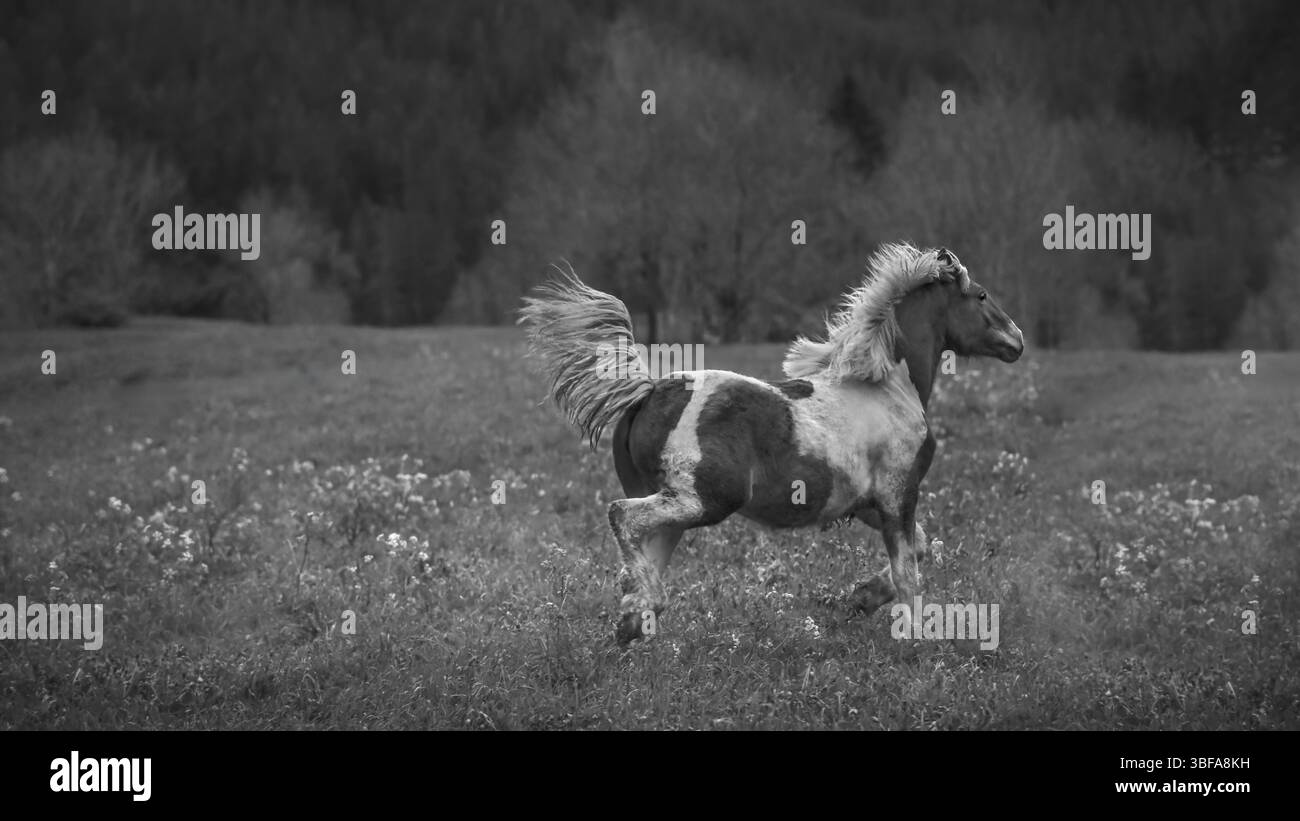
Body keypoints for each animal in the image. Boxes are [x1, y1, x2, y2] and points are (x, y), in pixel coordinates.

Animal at [518, 243, 1024, 644]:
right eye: (981, 296)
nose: (1017, 340)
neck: (888, 386)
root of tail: (650, 391)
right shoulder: (899, 495)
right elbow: (909, 572)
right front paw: (916, 637)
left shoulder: (868, 502)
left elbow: (920, 546)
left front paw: (861, 597)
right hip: (704, 500)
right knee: (621, 515)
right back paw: (644, 608)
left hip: (672, 505)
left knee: (641, 547)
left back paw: (633, 619)